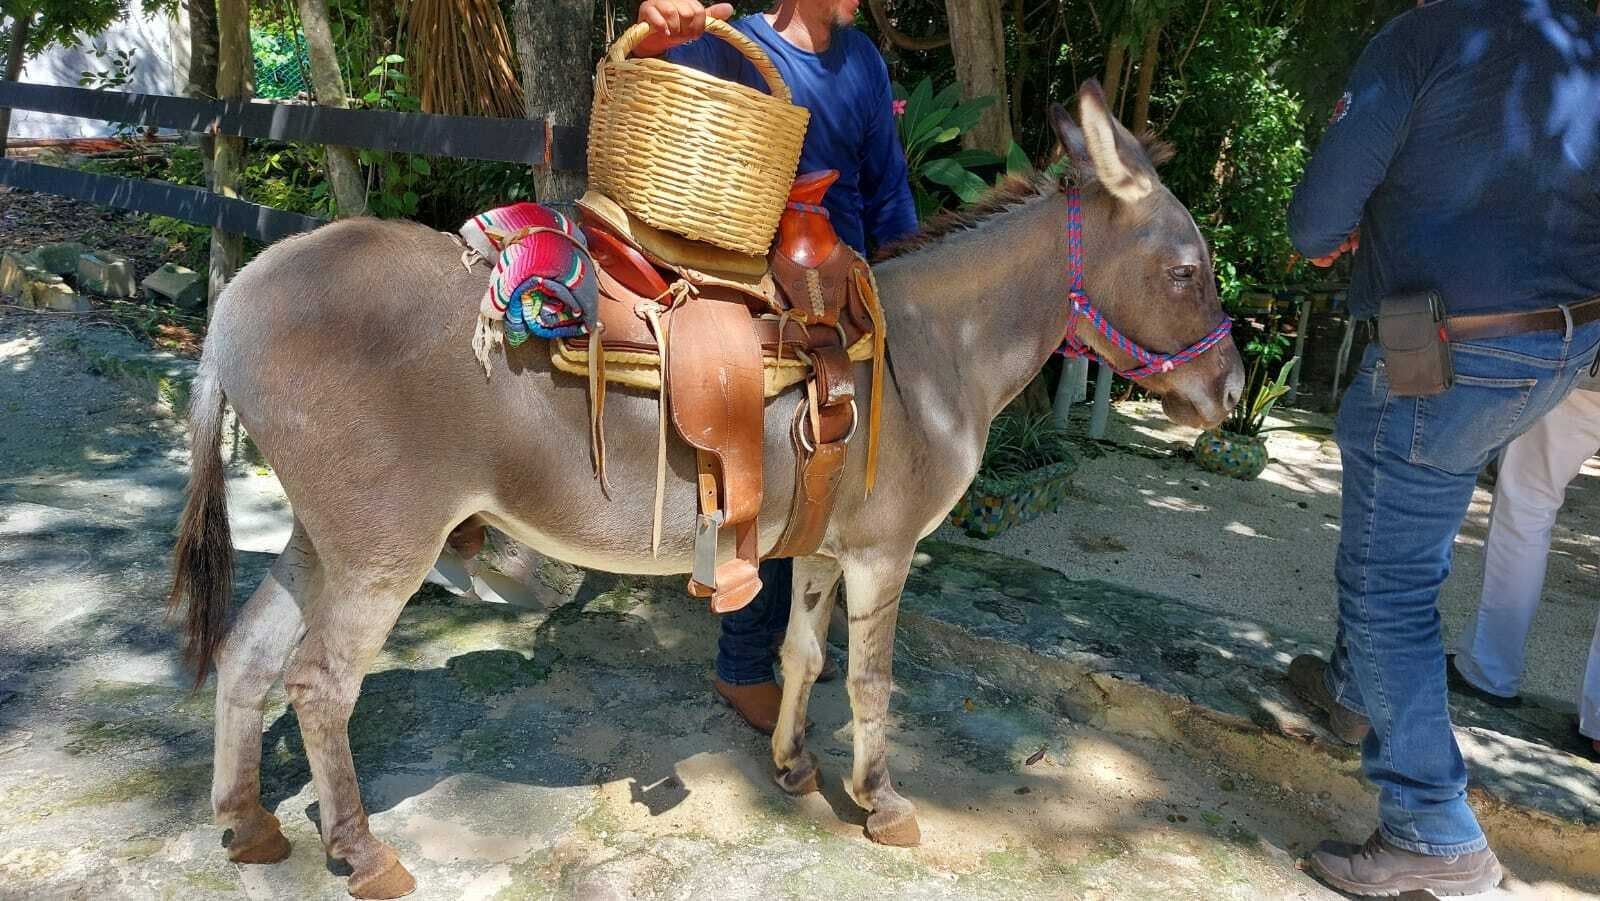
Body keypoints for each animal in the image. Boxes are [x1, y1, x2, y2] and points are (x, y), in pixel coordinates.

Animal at [168, 80, 1244, 898]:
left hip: (326, 538)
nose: (1233, 394)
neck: (929, 354)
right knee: (319, 682)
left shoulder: (823, 546)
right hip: (386, 549)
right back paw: (361, 854)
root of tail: (240, 295)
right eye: (1187, 272)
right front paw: (886, 804)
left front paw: (795, 767)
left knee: (247, 654)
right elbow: (872, 679)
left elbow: (804, 652)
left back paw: (248, 824)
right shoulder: (885, 551)